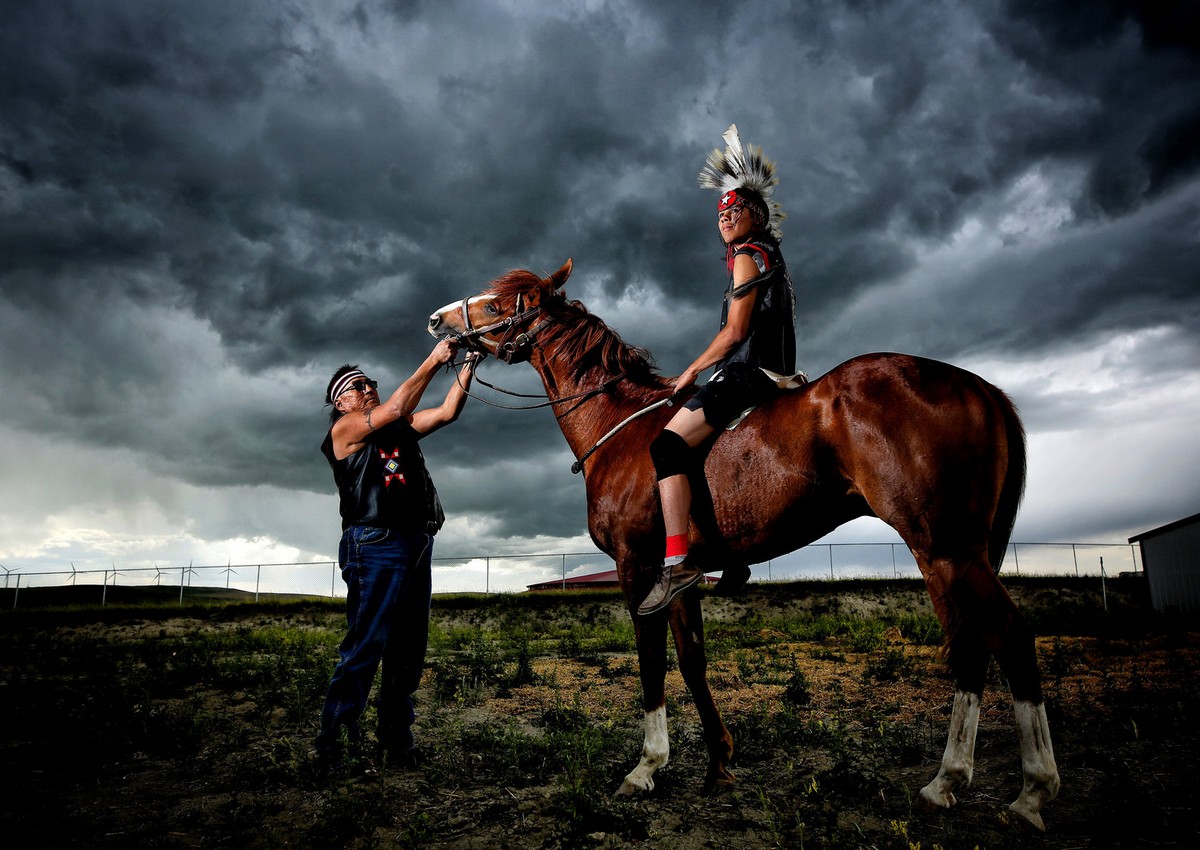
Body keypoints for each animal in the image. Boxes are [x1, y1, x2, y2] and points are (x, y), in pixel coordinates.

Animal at [429, 259, 1060, 830]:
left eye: (496, 303)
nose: (438, 320)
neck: (620, 423)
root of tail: (978, 385)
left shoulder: (638, 568)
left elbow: (652, 662)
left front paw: (646, 767)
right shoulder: (679, 579)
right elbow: (692, 660)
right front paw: (718, 762)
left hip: (947, 549)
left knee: (1010, 636)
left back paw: (1030, 791)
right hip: (947, 555)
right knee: (974, 645)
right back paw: (946, 783)